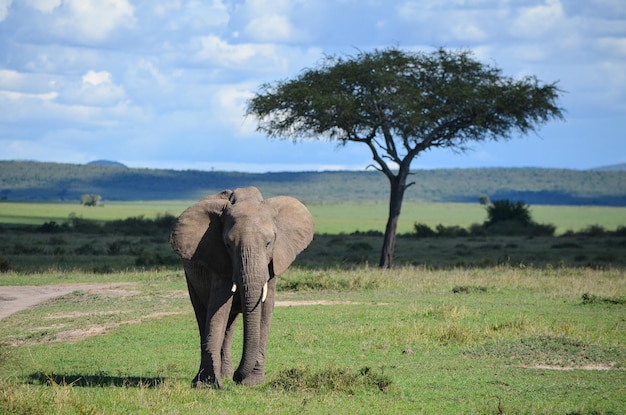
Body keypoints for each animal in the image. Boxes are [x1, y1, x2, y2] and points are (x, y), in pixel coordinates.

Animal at [169, 187, 312, 388]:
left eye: (269, 243)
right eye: (228, 245)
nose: (238, 377)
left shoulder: (272, 264)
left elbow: (265, 310)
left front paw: (253, 382)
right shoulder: (218, 258)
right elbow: (217, 311)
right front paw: (207, 385)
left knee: (230, 325)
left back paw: (226, 374)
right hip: (190, 276)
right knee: (202, 315)